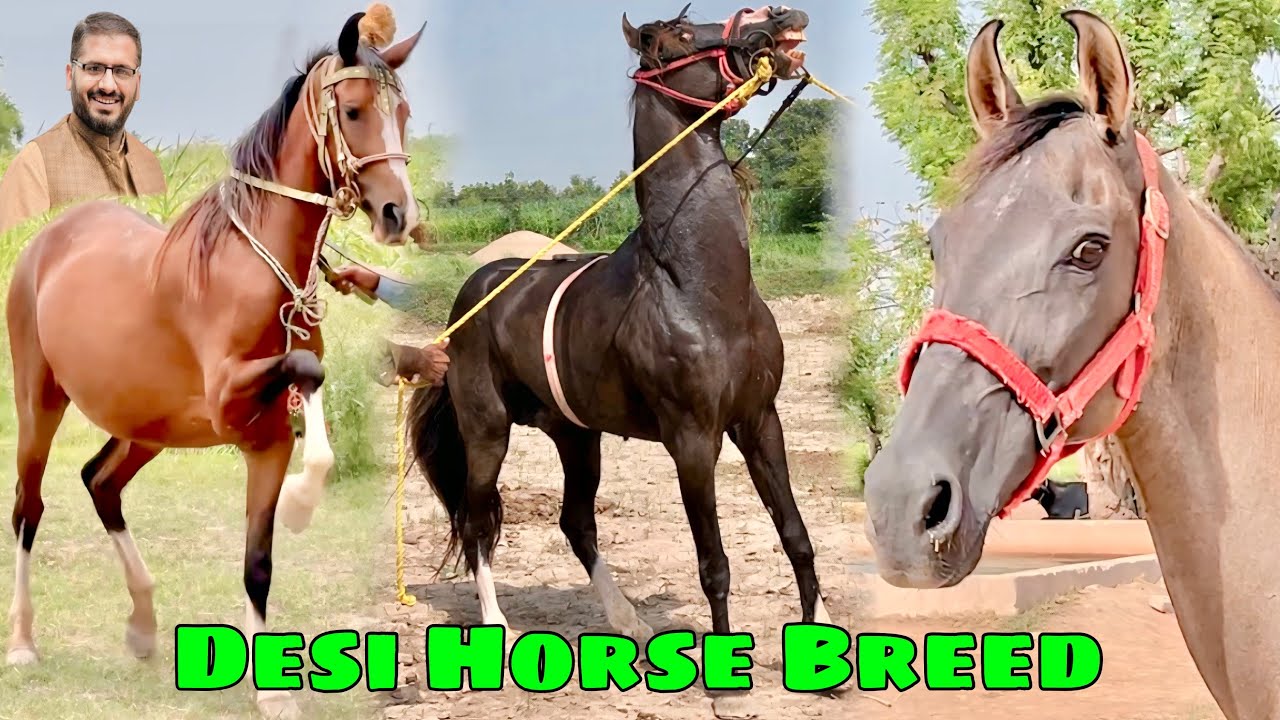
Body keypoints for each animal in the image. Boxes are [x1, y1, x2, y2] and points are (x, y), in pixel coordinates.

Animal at [4, 8, 422, 718]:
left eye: (406, 112)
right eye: (355, 110)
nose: (401, 215)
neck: (253, 265)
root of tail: (48, 240)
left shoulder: (267, 441)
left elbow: (259, 559)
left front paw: (271, 690)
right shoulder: (228, 403)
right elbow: (307, 372)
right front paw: (303, 506)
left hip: (147, 427)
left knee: (100, 481)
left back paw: (144, 627)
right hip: (40, 406)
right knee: (28, 509)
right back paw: (25, 643)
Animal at [407, 4, 828, 640]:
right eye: (680, 36)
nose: (778, 17)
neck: (698, 286)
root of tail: (470, 299)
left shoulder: (760, 420)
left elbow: (797, 536)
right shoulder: (692, 440)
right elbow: (715, 564)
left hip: (576, 436)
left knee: (576, 523)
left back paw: (631, 622)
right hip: (487, 432)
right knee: (477, 519)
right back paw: (497, 623)